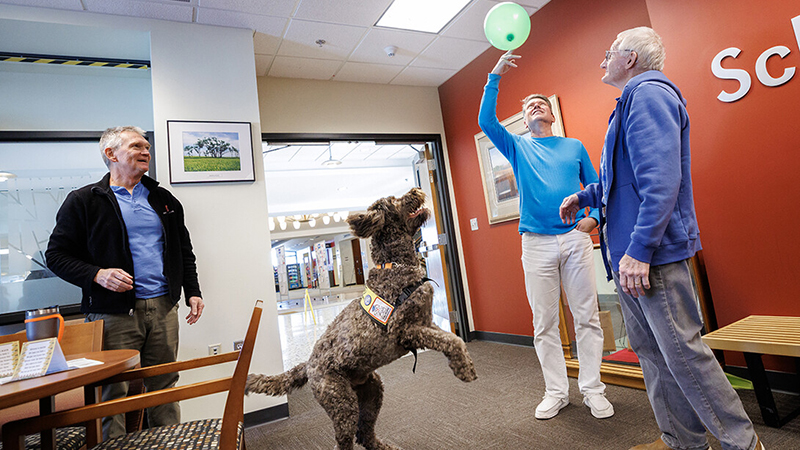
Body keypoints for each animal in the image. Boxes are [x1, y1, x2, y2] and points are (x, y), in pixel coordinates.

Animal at [247, 187, 476, 450]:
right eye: (395, 200)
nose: (415, 189)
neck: (396, 265)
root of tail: (307, 365)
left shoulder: (427, 323)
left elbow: (452, 339)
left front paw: (463, 362)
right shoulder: (405, 331)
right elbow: (452, 341)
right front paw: (464, 370)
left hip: (372, 389)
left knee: (364, 433)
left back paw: (384, 446)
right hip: (341, 401)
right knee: (345, 441)